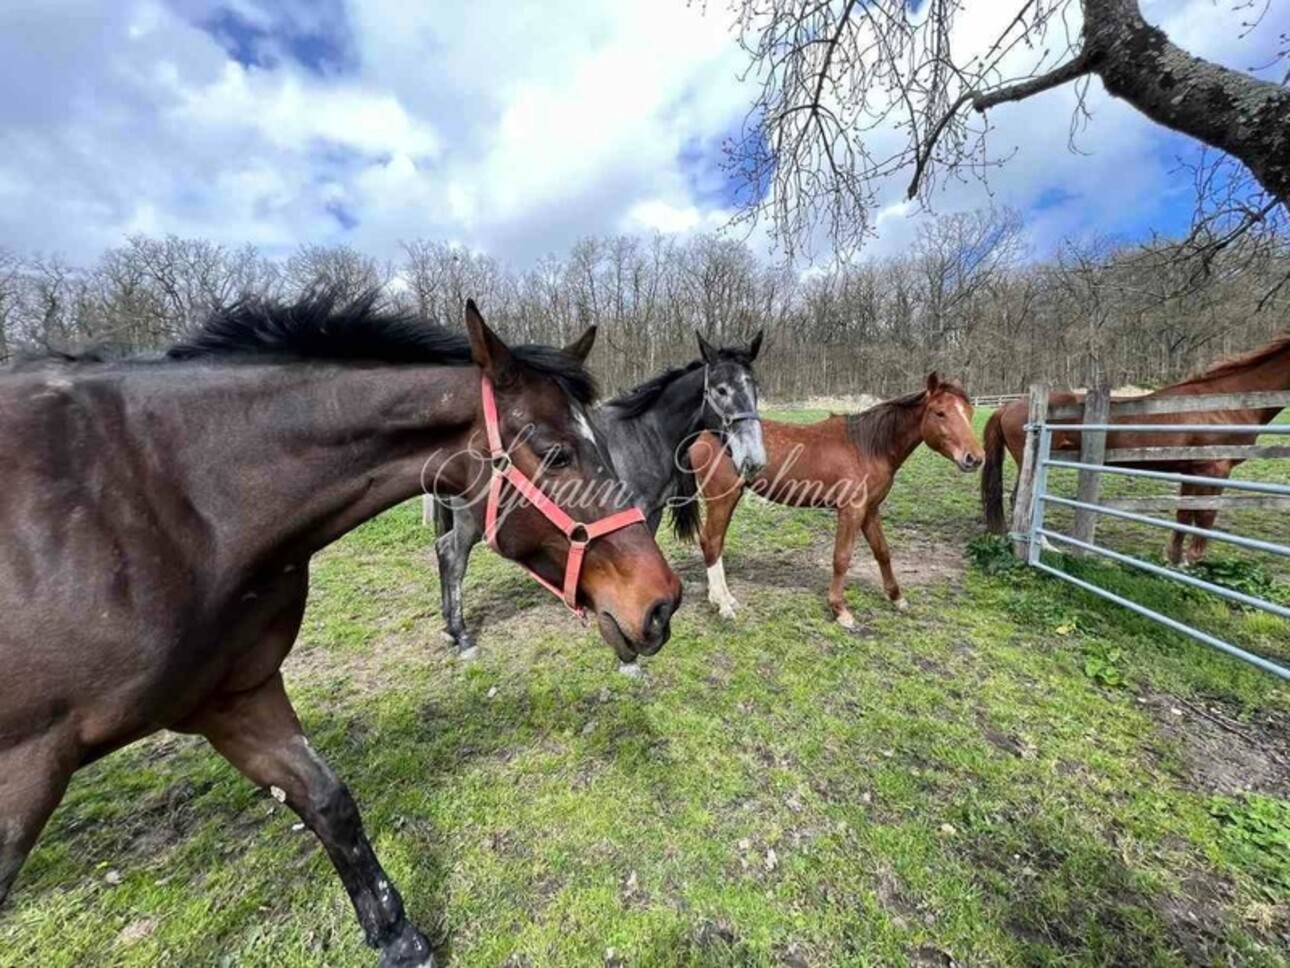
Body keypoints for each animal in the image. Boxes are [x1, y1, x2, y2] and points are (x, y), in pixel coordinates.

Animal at [0, 294, 686, 968]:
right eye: (555, 452)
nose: (661, 603)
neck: (178, 501)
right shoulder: (26, 764)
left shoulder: (236, 695)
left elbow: (328, 802)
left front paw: (398, 938)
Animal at [430, 332, 763, 665]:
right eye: (721, 390)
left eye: (754, 388)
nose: (754, 459)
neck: (644, 435)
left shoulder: (648, 513)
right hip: (472, 522)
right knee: (453, 556)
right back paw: (461, 635)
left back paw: (450, 629)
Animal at [681, 371, 980, 629]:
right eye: (940, 412)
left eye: (969, 413)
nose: (975, 458)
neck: (867, 446)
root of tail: (703, 433)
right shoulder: (851, 510)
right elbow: (842, 557)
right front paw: (840, 610)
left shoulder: (870, 510)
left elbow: (882, 551)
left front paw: (897, 598)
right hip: (723, 497)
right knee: (711, 542)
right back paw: (723, 605)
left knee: (715, 543)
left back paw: (722, 598)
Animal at [980, 332, 1284, 565]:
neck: (1227, 402)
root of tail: (1008, 406)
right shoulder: (1215, 468)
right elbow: (1206, 512)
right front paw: (1193, 559)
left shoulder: (1191, 468)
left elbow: (1185, 513)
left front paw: (1175, 558)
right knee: (1025, 499)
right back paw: (1043, 544)